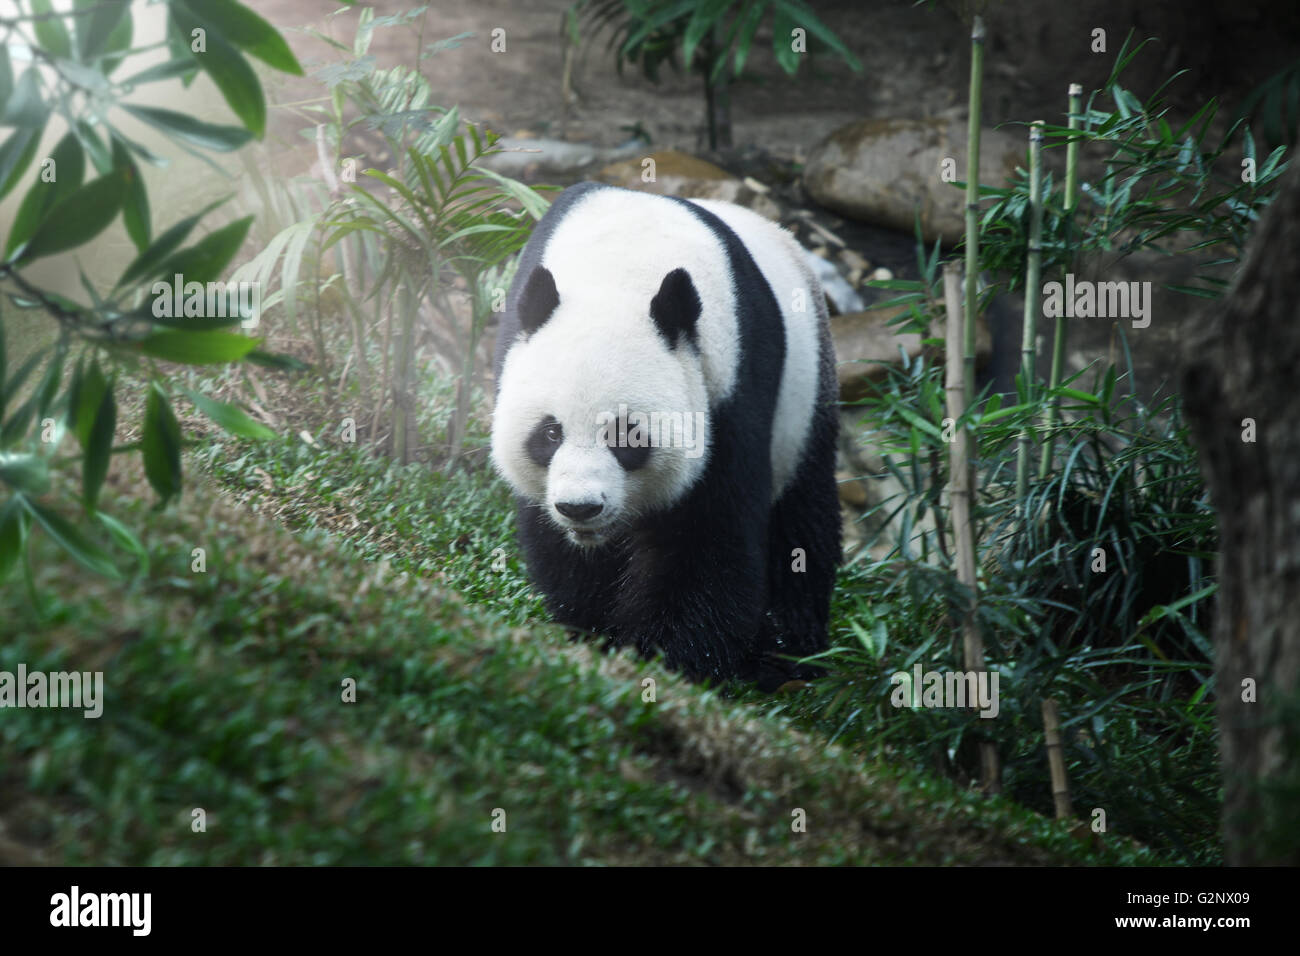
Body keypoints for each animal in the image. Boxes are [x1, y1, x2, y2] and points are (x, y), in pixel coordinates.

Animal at [488, 180, 842, 686]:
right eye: (550, 434)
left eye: (626, 437)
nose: (581, 507)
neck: (620, 270)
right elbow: (560, 548)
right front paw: (595, 630)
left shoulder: (730, 386)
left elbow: (706, 537)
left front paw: (671, 659)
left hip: (805, 401)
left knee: (803, 520)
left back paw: (789, 648)